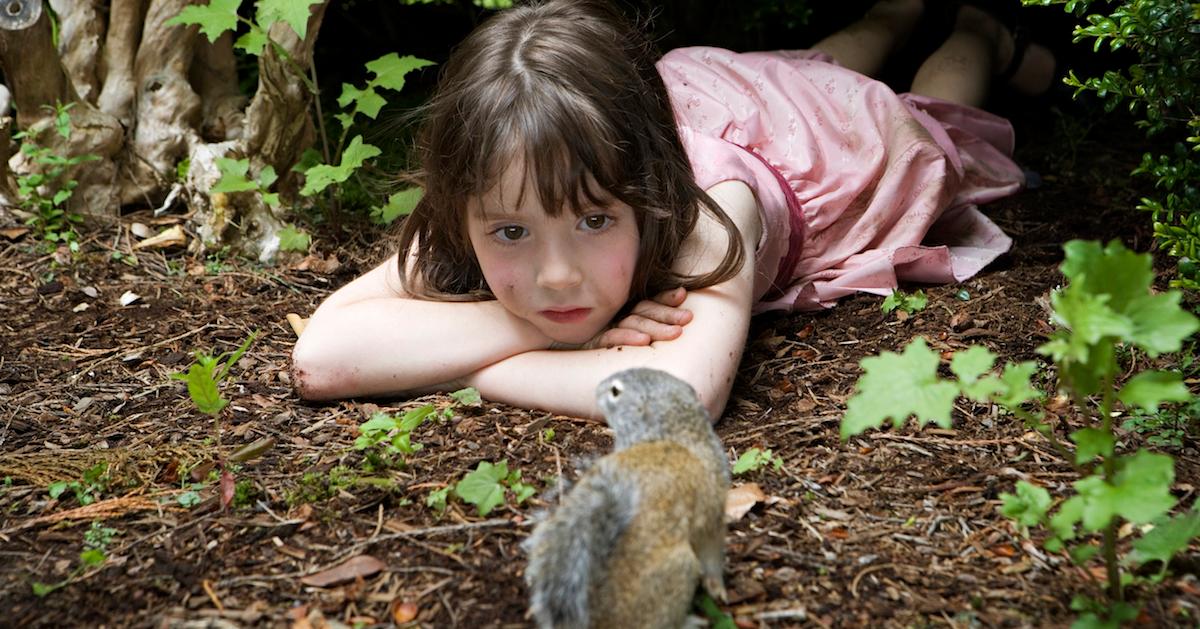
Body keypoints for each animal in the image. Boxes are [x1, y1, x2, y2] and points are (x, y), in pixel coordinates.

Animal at [520, 369, 724, 629]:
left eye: (615, 391)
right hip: (679, 570)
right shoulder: (713, 512)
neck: (677, 433)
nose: (597, 388)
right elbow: (712, 553)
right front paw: (718, 587)